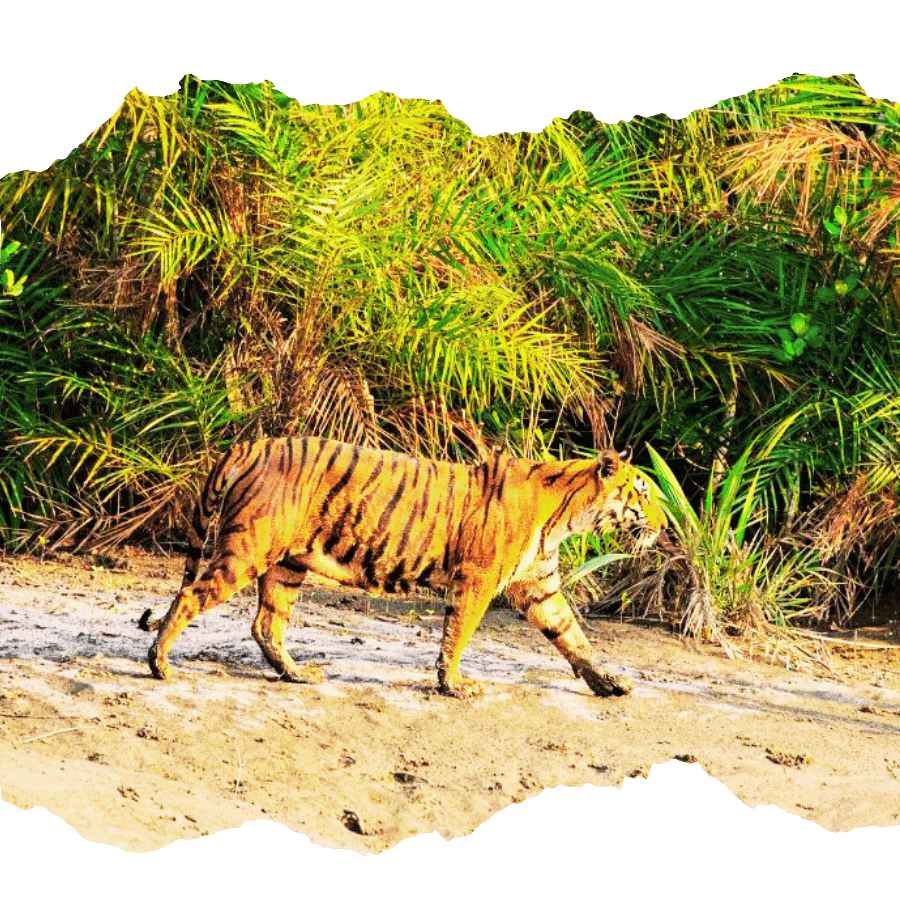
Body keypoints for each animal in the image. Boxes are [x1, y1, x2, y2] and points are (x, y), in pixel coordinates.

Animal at [138, 436, 667, 698]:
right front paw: (453, 685)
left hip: (287, 565)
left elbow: (574, 637)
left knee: (265, 623)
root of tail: (248, 444)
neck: (565, 516)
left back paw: (297, 674)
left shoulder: (540, 587)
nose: (665, 526)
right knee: (190, 596)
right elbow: (457, 636)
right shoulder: (477, 580)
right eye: (642, 494)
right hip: (249, 549)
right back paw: (159, 664)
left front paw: (608, 682)